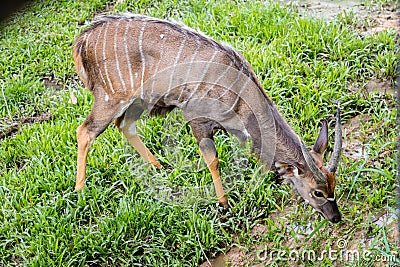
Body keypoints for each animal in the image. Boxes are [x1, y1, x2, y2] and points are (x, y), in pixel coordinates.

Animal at [73, 14, 342, 224]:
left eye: (334, 184)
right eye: (317, 192)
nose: (335, 217)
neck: (240, 92)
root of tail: (84, 40)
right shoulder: (198, 120)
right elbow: (213, 160)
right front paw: (224, 204)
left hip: (136, 102)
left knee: (124, 125)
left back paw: (159, 166)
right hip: (110, 98)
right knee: (85, 131)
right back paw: (80, 191)